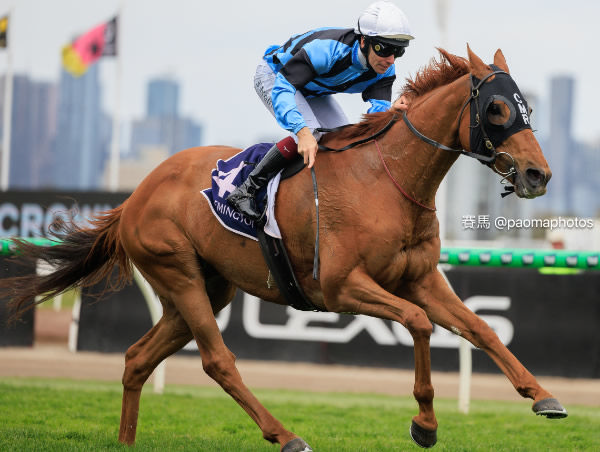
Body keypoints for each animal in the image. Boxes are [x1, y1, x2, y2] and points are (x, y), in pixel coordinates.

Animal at [1, 46, 564, 452]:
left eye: (528, 108)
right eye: (496, 108)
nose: (538, 174)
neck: (387, 180)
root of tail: (135, 197)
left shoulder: (420, 278)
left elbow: (480, 328)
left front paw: (543, 397)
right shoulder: (342, 287)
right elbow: (419, 322)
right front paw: (425, 423)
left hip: (208, 287)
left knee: (138, 358)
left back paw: (126, 441)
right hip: (178, 272)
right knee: (218, 361)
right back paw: (287, 435)